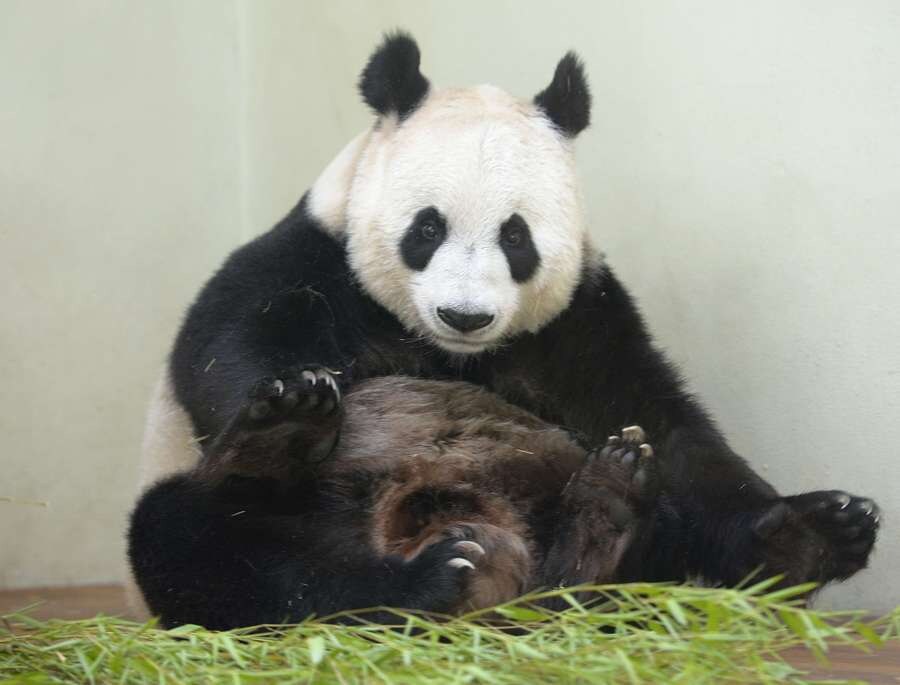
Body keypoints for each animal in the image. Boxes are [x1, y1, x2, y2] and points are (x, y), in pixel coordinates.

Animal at [128, 32, 880, 628]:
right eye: (427, 228)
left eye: (515, 237)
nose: (466, 315)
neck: (450, 352)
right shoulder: (313, 258)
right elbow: (227, 350)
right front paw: (293, 401)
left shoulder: (575, 322)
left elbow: (665, 426)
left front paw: (808, 532)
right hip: (276, 522)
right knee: (215, 548)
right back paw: (402, 569)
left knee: (646, 539)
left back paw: (607, 532)